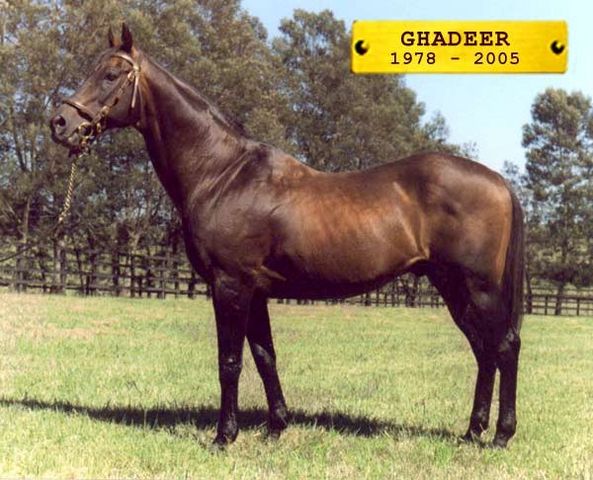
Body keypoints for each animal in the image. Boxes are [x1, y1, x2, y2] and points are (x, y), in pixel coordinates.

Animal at [50, 24, 524, 448]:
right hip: (452, 287)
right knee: (483, 350)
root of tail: (499, 182)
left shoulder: (230, 286)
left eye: (111, 74)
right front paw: (277, 427)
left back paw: (501, 435)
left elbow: (230, 362)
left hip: (478, 288)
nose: (60, 122)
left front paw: (224, 437)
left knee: (504, 346)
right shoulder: (255, 290)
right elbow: (265, 357)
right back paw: (472, 432)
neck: (222, 173)